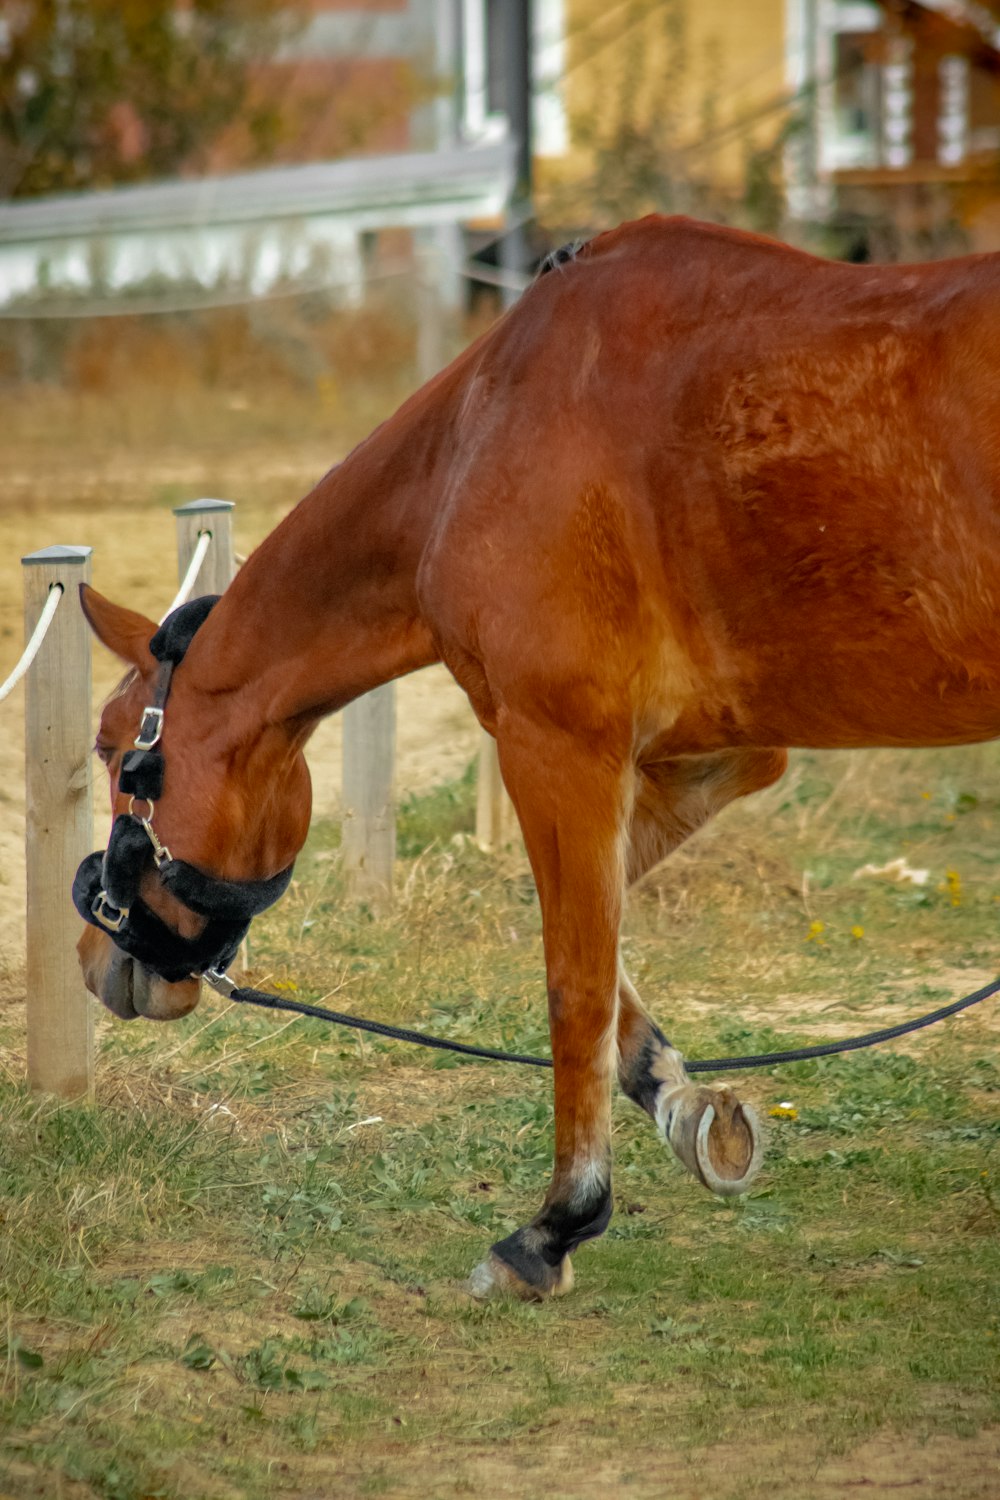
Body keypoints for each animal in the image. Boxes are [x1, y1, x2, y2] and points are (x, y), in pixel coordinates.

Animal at [76, 214, 1000, 1302]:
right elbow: (584, 931)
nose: (95, 954)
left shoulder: (557, 742)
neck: (478, 441)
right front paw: (680, 1102)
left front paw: (557, 1223)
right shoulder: (716, 751)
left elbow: (575, 974)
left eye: (113, 751)